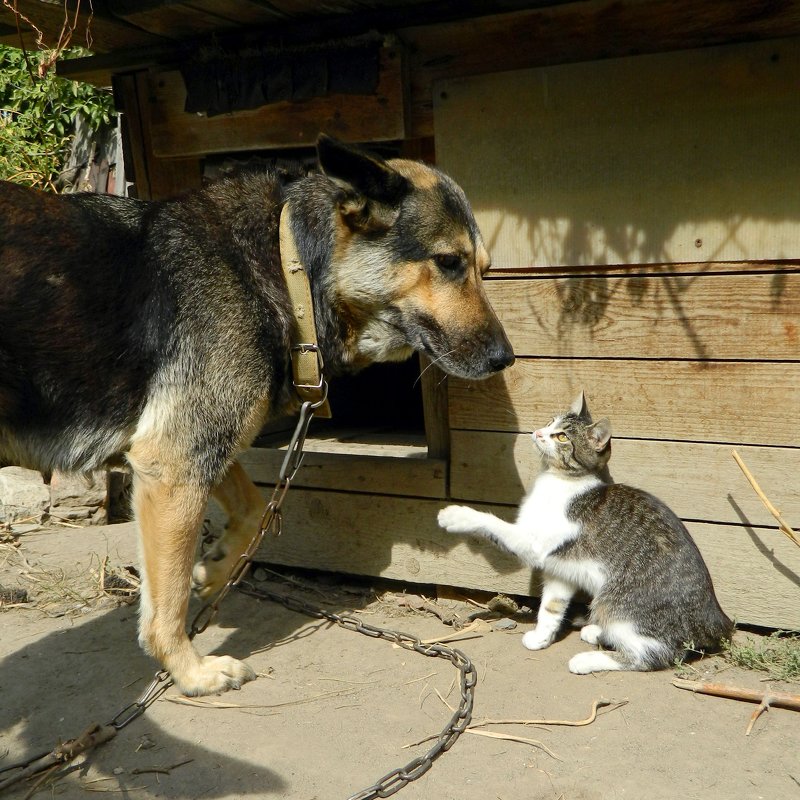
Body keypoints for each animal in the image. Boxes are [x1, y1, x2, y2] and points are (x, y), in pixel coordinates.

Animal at [0, 136, 512, 692]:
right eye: (449, 262)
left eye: (485, 269)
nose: (506, 358)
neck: (284, 263)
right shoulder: (177, 462)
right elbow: (167, 602)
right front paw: (189, 669)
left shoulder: (199, 447)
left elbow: (251, 508)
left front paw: (216, 566)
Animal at [438, 390, 732, 672]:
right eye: (550, 422)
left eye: (561, 437)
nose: (538, 432)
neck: (557, 480)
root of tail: (716, 620)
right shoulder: (561, 572)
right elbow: (550, 608)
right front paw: (541, 638)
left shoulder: (536, 544)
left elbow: (493, 523)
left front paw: (456, 515)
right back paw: (597, 633)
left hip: (615, 604)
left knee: (653, 656)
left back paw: (586, 660)